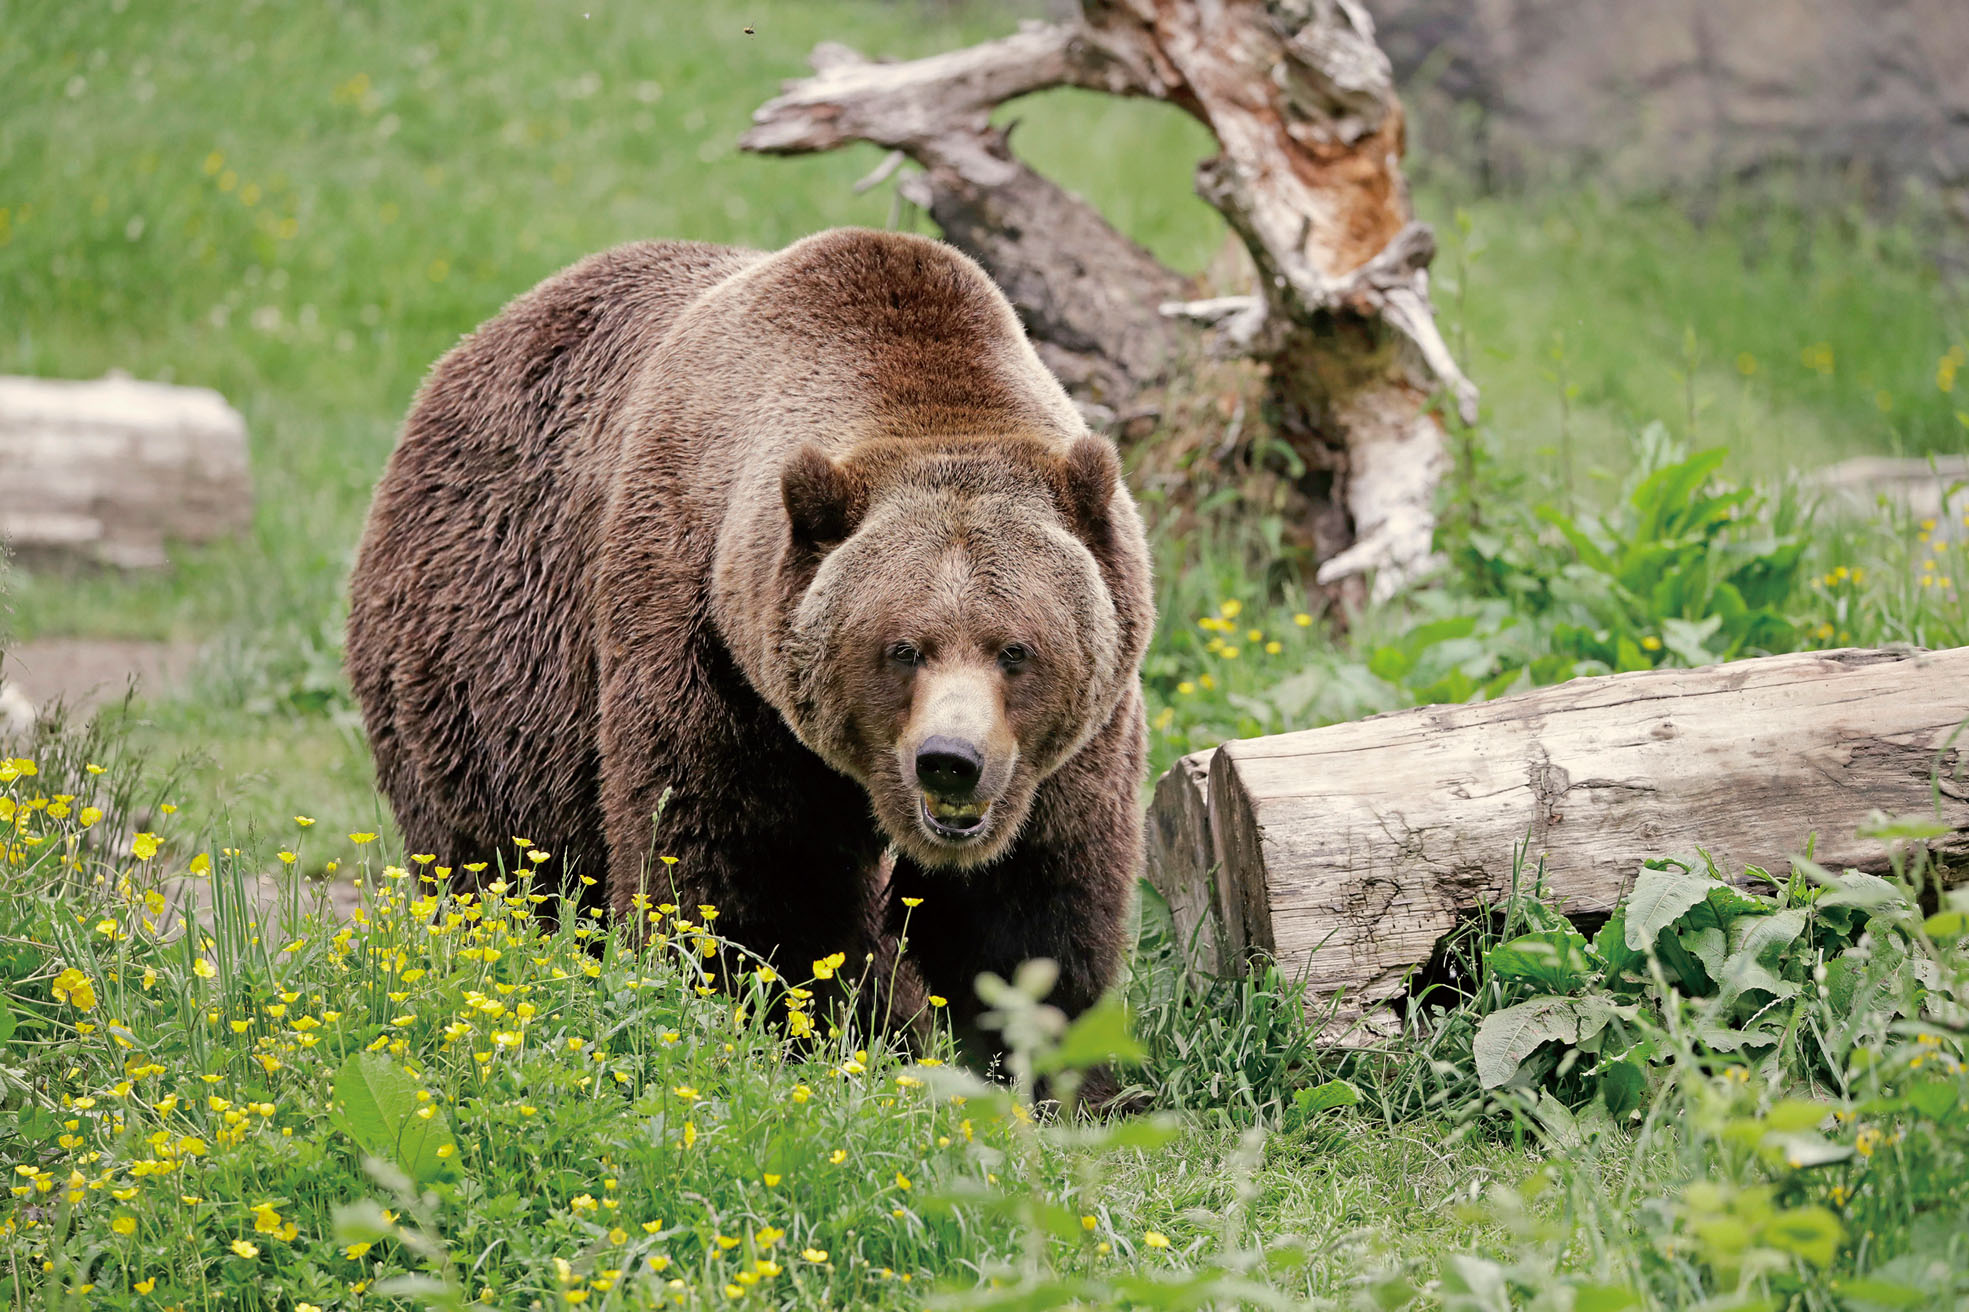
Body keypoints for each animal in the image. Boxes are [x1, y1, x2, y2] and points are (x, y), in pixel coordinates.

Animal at [346, 228, 1154, 1057]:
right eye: (901, 648)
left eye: (1014, 649)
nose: (949, 761)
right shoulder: (710, 651)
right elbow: (742, 877)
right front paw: (786, 1023)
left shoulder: (1074, 743)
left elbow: (1030, 910)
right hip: (490, 660)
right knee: (502, 855)